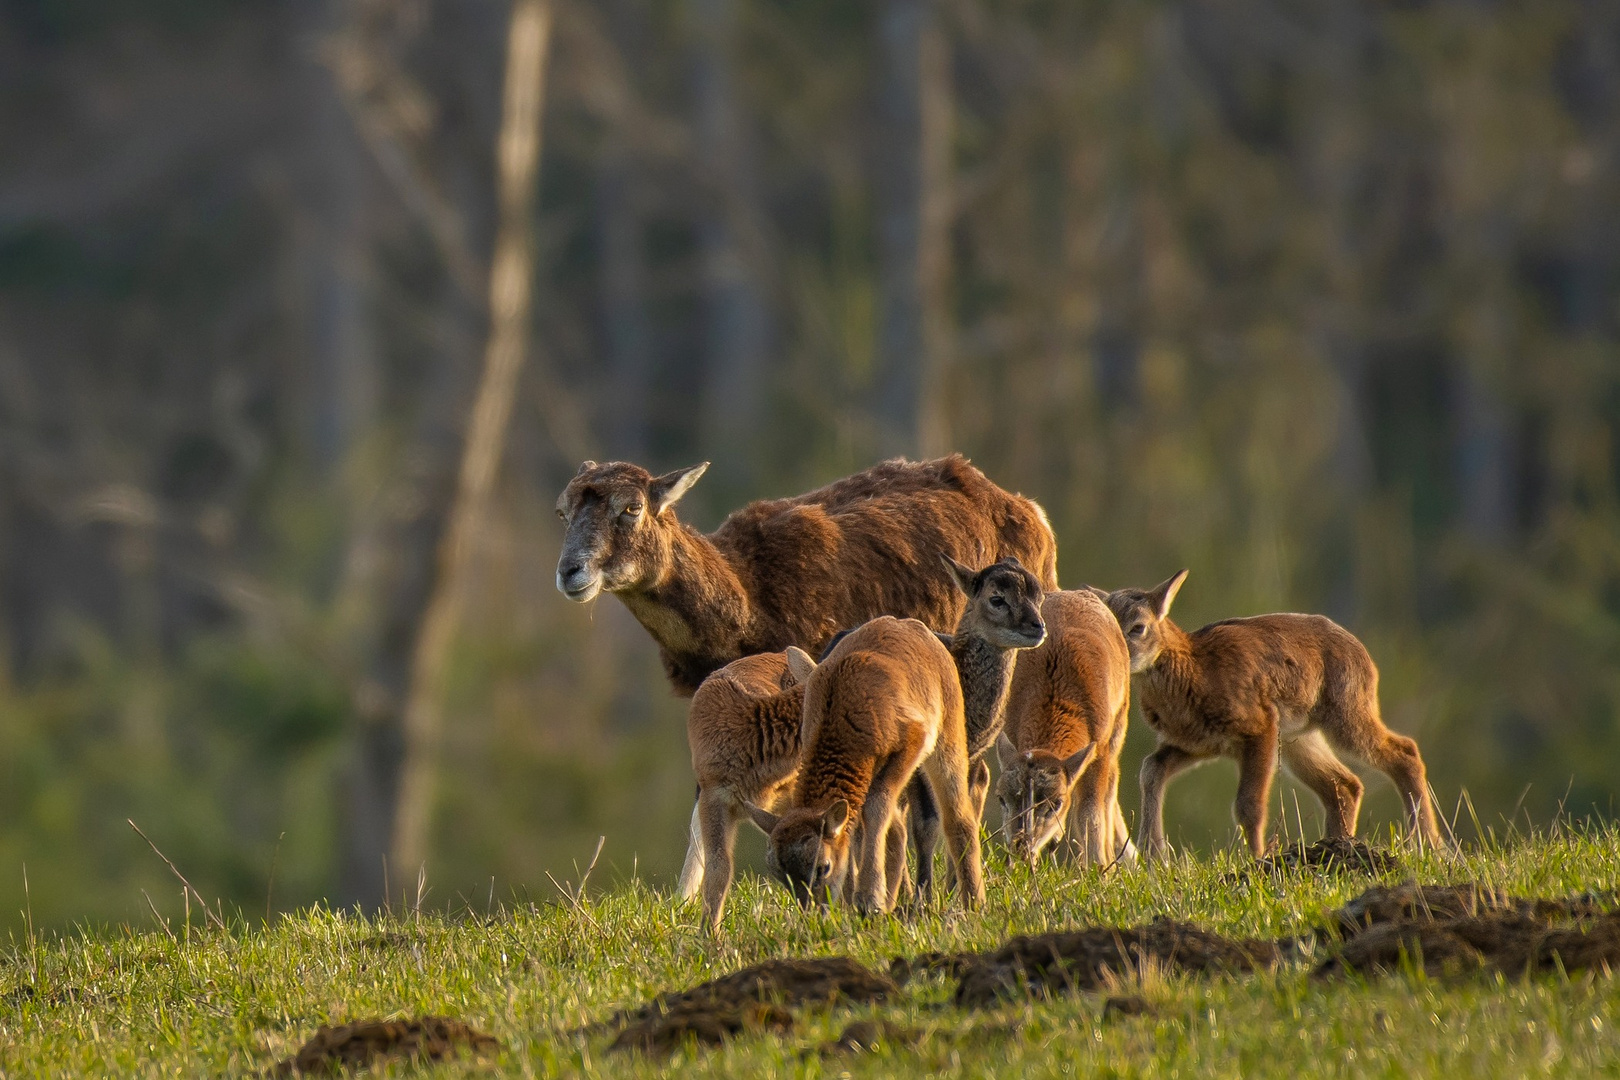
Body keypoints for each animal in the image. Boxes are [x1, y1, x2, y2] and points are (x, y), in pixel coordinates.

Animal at [748, 563, 1049, 919]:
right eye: (997, 598)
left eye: (1038, 594)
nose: (1037, 626)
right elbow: (906, 824)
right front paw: (896, 896)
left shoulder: (943, 753)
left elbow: (917, 816)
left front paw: (888, 898)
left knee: (950, 816)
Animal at [991, 586, 1134, 867]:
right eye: (1001, 798)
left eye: (1056, 803)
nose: (1022, 848)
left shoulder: (1100, 748)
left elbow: (1091, 813)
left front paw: (1099, 867)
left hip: (1119, 725)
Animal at [1101, 569, 1445, 854]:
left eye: (1138, 627)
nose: (1115, 654)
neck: (1195, 670)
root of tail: (1363, 654)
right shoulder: (1196, 745)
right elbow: (1150, 769)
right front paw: (1154, 856)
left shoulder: (1260, 725)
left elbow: (1248, 805)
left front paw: (1256, 859)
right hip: (1298, 739)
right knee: (1344, 784)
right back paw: (1337, 846)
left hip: (1346, 717)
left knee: (1404, 751)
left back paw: (1429, 845)